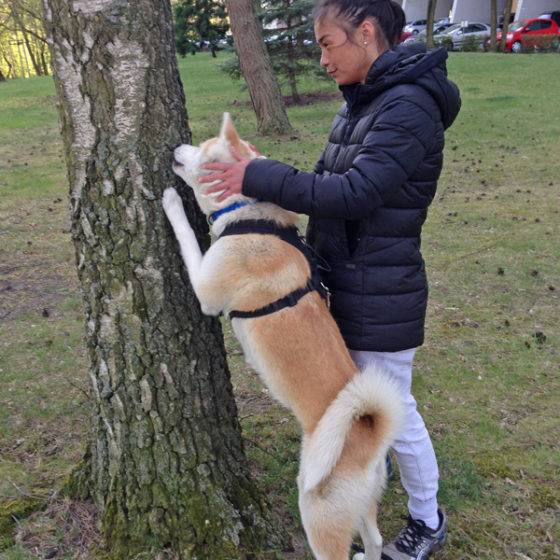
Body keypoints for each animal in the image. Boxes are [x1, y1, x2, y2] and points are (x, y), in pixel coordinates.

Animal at [162, 114, 402, 560]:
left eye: (202, 148)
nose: (174, 147)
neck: (249, 213)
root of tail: (366, 430)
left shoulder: (205, 289)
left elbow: (187, 235)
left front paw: (171, 202)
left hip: (317, 509)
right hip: (360, 506)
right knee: (375, 538)